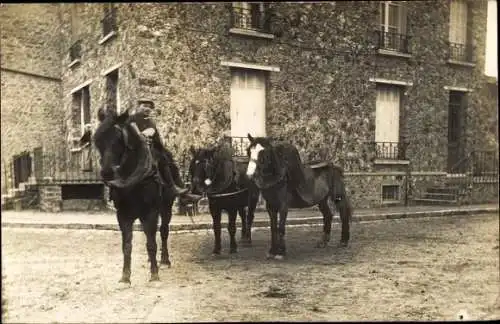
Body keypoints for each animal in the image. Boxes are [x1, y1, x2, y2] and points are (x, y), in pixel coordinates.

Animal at [92, 109, 176, 284]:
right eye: (97, 140)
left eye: (119, 139)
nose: (106, 173)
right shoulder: (123, 215)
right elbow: (127, 246)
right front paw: (125, 277)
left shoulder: (150, 212)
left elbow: (151, 243)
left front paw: (154, 275)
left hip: (167, 207)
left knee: (163, 231)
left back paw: (164, 260)